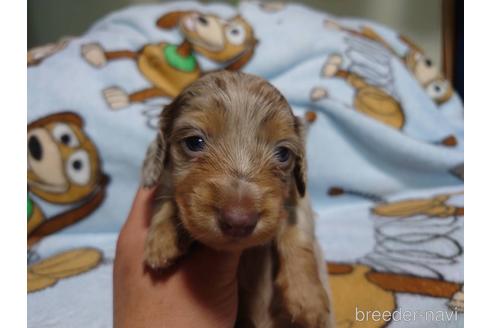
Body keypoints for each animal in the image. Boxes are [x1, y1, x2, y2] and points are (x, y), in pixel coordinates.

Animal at [142, 70, 334, 326]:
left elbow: (298, 234)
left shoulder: (298, 199)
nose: (239, 221)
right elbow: (166, 199)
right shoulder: (165, 180)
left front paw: (307, 298)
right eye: (194, 142)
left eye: (283, 153)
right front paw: (162, 240)